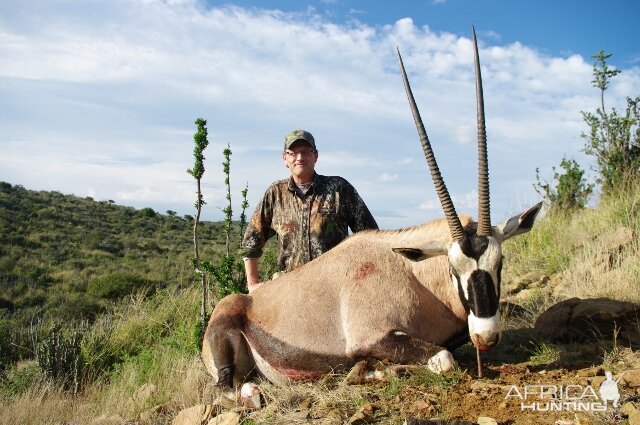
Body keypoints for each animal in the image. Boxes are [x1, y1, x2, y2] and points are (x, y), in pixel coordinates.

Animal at [202, 28, 544, 388]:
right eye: (453, 268)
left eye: (500, 262)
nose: (486, 336)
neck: (414, 275)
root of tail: (247, 300)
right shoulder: (370, 337)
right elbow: (444, 359)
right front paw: (369, 371)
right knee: (231, 388)